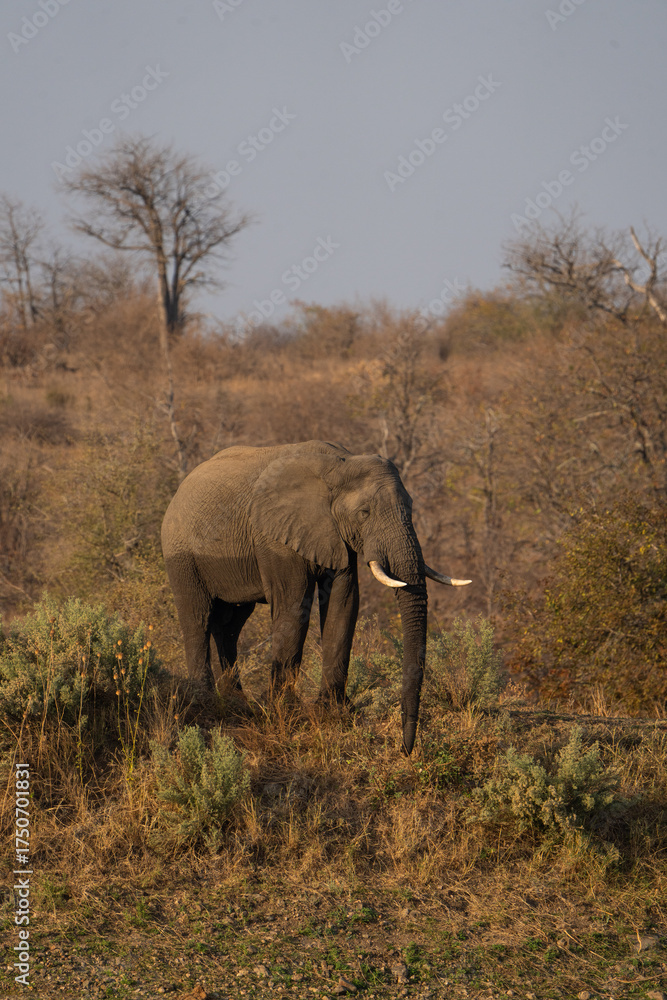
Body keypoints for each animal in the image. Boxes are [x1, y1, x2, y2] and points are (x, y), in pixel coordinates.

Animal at [161, 440, 470, 754]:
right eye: (364, 513)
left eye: (411, 508)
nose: (405, 749)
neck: (339, 465)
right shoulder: (277, 536)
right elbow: (293, 605)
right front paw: (284, 713)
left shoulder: (336, 535)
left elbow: (344, 604)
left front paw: (334, 711)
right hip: (180, 554)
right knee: (197, 619)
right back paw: (205, 702)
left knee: (229, 626)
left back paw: (236, 704)